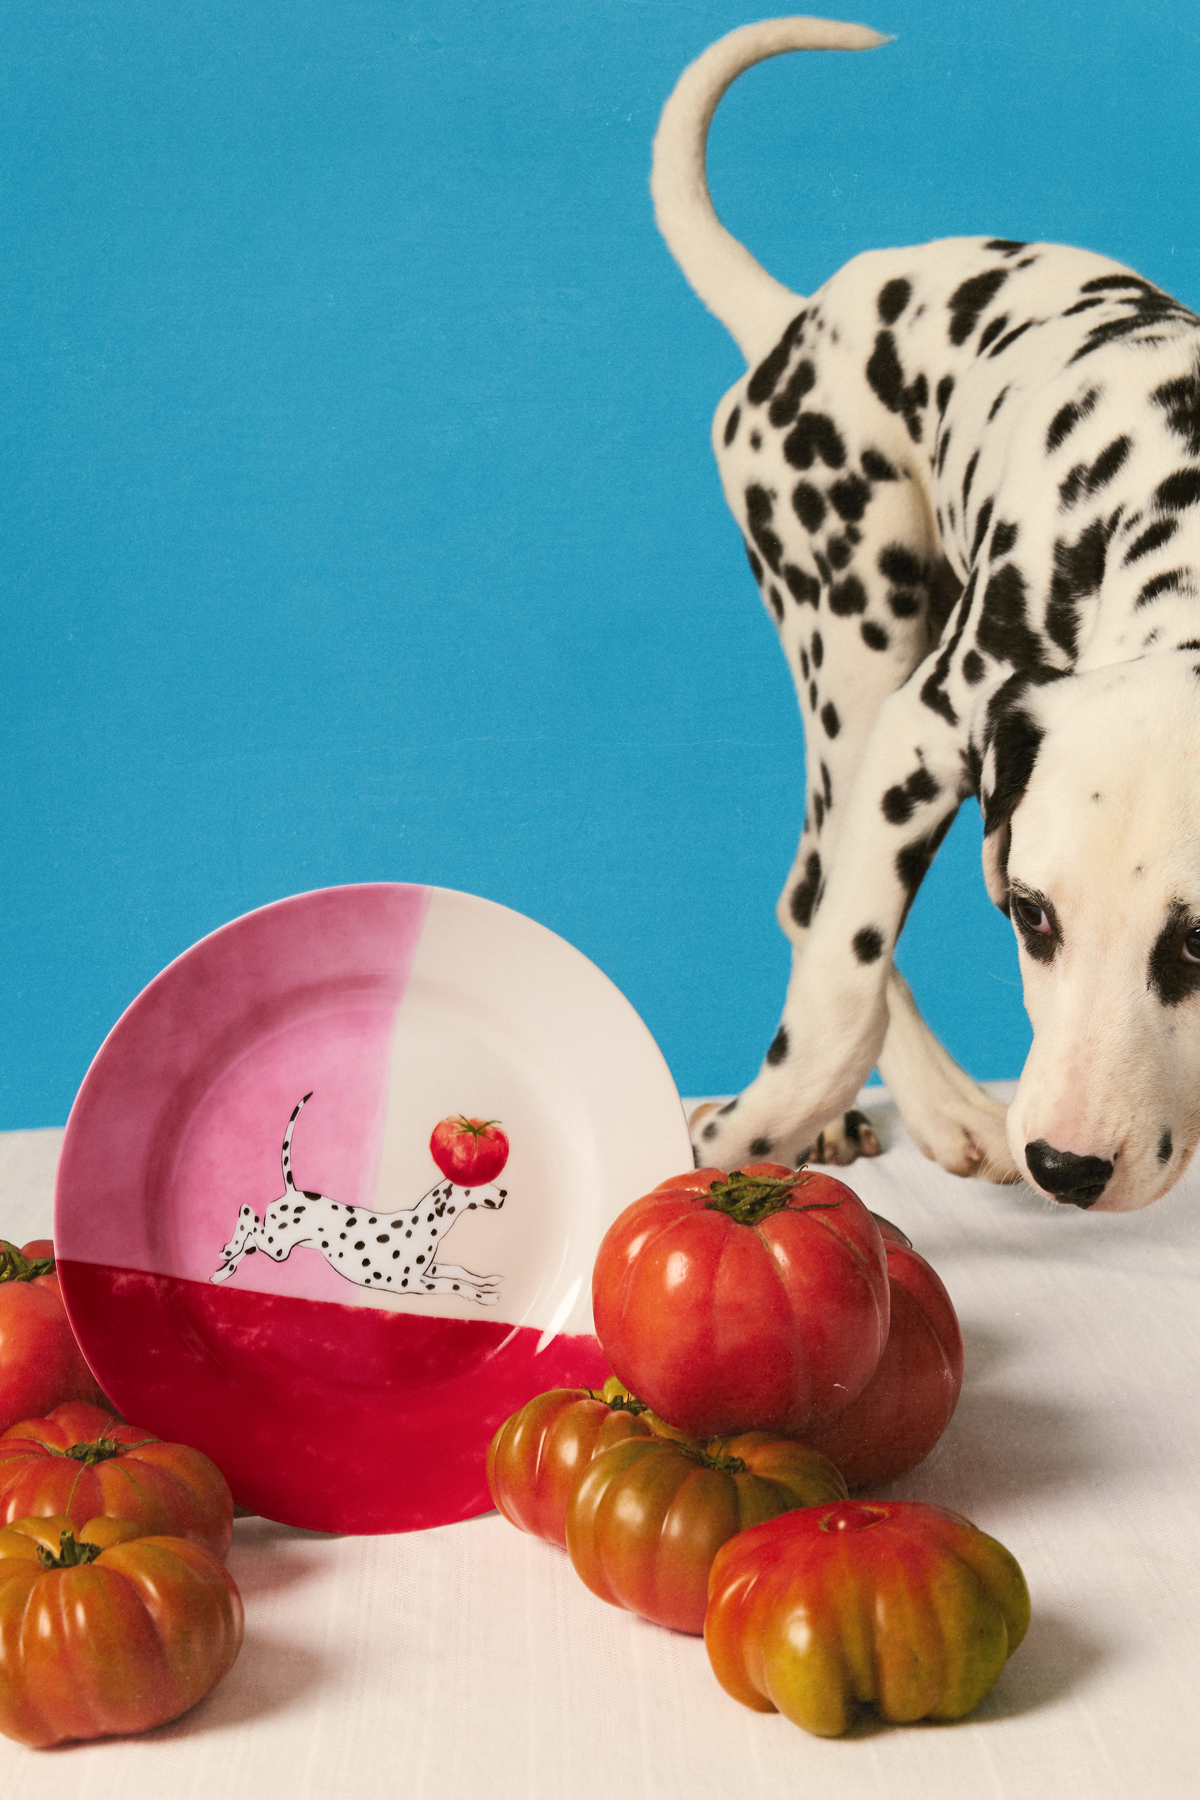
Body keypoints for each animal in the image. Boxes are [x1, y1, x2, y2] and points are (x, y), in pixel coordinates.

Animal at [211, 1087, 507, 1303]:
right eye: (485, 1180)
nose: (504, 1192)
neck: (427, 1224)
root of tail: (293, 1193)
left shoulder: (430, 1270)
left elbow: (459, 1271)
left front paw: (488, 1281)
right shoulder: (412, 1282)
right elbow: (454, 1284)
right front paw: (484, 1297)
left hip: (279, 1244)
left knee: (250, 1239)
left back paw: (223, 1270)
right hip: (278, 1247)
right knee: (247, 1212)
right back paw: (229, 1251)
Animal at [662, 17, 1200, 1209]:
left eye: (1198, 946)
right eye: (1033, 915)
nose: (1065, 1165)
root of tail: (795, 322)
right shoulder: (924, 734)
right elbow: (840, 986)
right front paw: (741, 1139)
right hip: (857, 647)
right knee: (816, 900)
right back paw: (935, 1110)